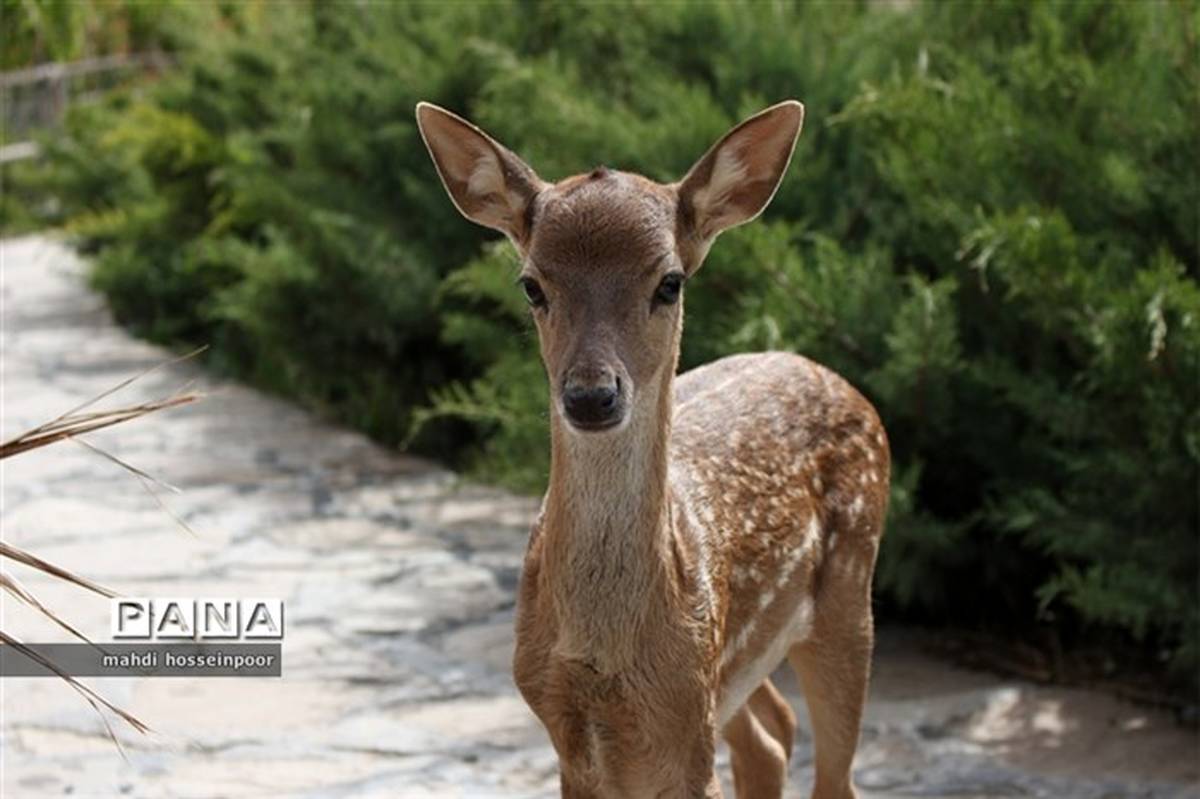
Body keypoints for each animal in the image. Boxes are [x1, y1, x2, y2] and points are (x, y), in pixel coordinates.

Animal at [417, 101, 888, 796]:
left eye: (669, 282)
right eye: (532, 286)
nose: (591, 395)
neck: (607, 651)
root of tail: (833, 377)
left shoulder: (686, 722)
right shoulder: (575, 732)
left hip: (849, 589)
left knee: (836, 776)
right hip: (735, 669)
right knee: (772, 734)